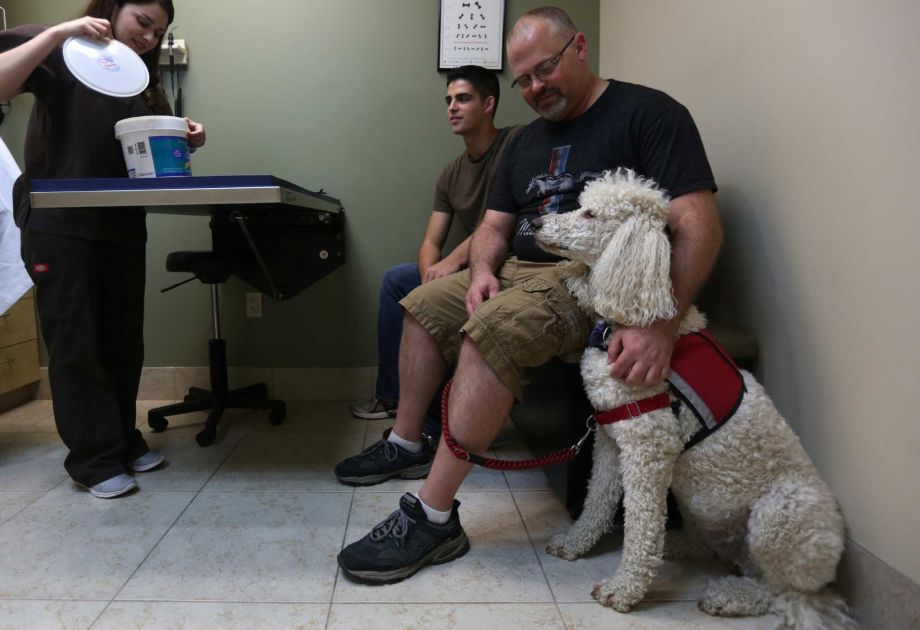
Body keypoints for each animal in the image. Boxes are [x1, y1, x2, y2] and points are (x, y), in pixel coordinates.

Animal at [536, 170, 852, 628]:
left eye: (590, 214)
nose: (536, 223)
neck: (627, 321)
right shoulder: (611, 438)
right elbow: (598, 500)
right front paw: (576, 544)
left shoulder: (649, 448)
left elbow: (641, 525)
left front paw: (623, 589)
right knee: (715, 550)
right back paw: (682, 548)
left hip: (781, 515)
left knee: (785, 591)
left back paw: (730, 595)